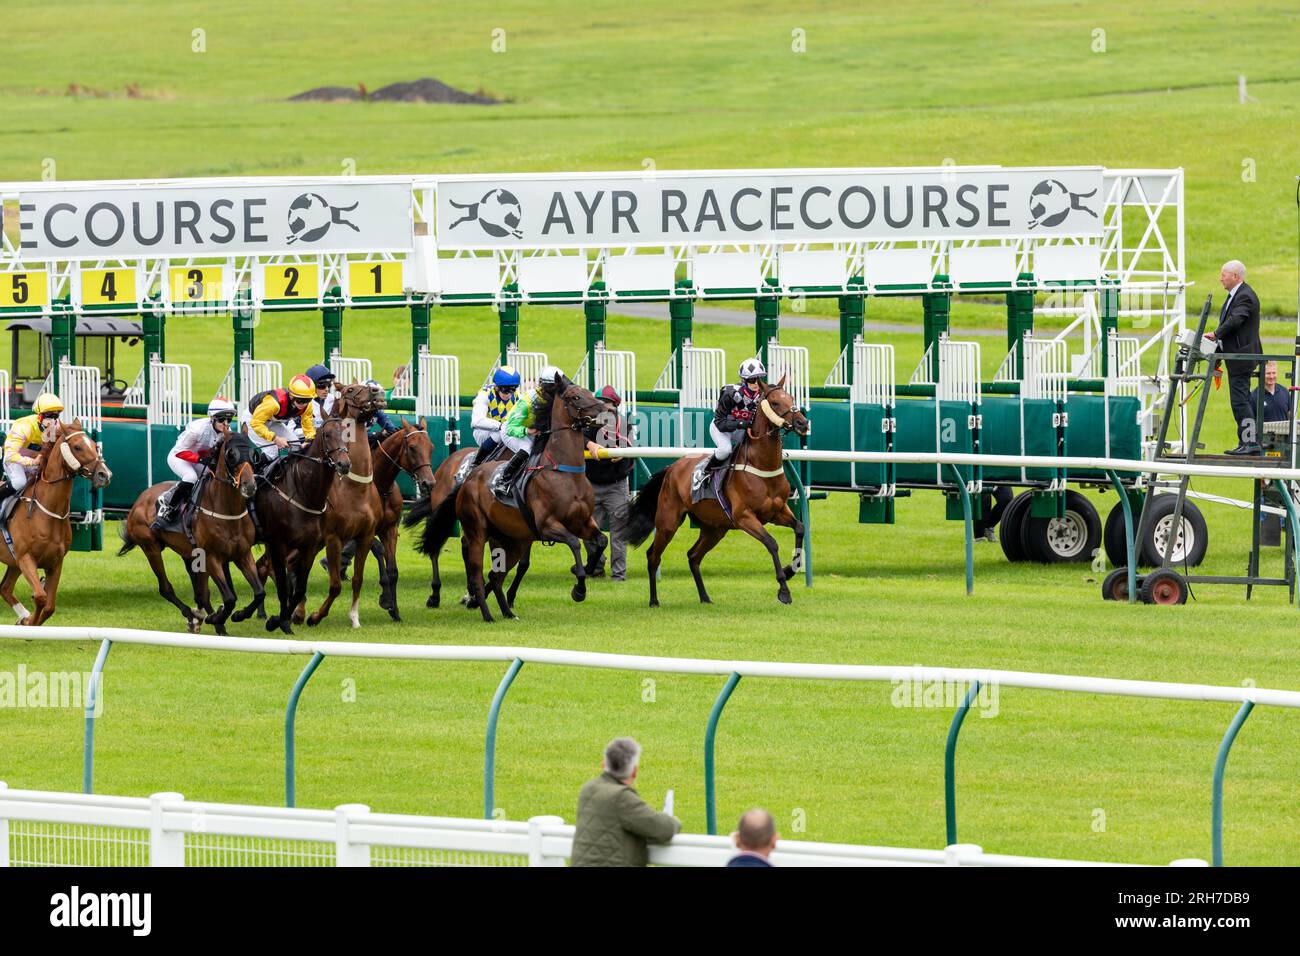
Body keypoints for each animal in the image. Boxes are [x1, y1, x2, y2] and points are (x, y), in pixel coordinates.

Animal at [0, 421, 112, 629]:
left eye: (95, 445)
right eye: (77, 447)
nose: (105, 474)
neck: (47, 512)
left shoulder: (55, 562)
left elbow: (50, 606)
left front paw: (28, 620)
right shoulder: (26, 557)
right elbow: (40, 596)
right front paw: (30, 622)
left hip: (13, 562)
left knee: (5, 588)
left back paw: (23, 615)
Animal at [118, 434, 260, 634]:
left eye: (254, 453)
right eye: (231, 454)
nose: (250, 486)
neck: (227, 511)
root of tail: (139, 500)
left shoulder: (243, 554)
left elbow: (259, 593)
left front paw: (238, 615)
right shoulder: (212, 557)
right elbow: (230, 598)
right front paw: (217, 617)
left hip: (188, 553)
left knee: (201, 594)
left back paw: (207, 618)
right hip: (150, 547)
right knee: (166, 588)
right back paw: (195, 616)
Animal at [408, 377, 605, 624]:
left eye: (587, 391)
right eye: (574, 396)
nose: (604, 408)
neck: (564, 471)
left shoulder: (582, 521)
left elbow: (601, 541)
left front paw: (588, 569)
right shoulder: (546, 525)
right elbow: (574, 543)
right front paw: (578, 588)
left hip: (508, 539)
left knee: (494, 573)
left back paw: (501, 609)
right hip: (474, 529)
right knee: (448, 553)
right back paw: (451, 599)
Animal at [621, 374, 811, 606]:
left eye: (791, 397)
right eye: (775, 402)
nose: (802, 423)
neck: (762, 465)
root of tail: (671, 468)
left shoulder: (777, 511)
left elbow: (800, 528)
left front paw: (791, 570)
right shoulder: (744, 517)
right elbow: (772, 543)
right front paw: (783, 590)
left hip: (715, 528)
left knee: (693, 556)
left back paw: (705, 597)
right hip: (668, 522)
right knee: (653, 556)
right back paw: (654, 600)